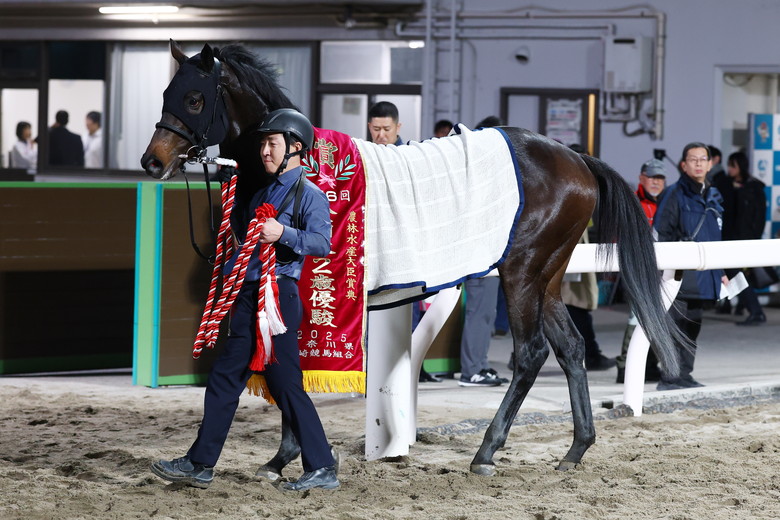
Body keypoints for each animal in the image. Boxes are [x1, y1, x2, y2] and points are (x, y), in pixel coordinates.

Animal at [142, 41, 684, 477]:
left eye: (194, 98)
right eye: (166, 94)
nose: (152, 161)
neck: (302, 168)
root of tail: (576, 159)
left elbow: (293, 366)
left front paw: (288, 455)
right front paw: (278, 457)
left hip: (522, 273)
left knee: (531, 354)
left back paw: (487, 452)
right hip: (547, 278)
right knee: (570, 348)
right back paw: (576, 448)